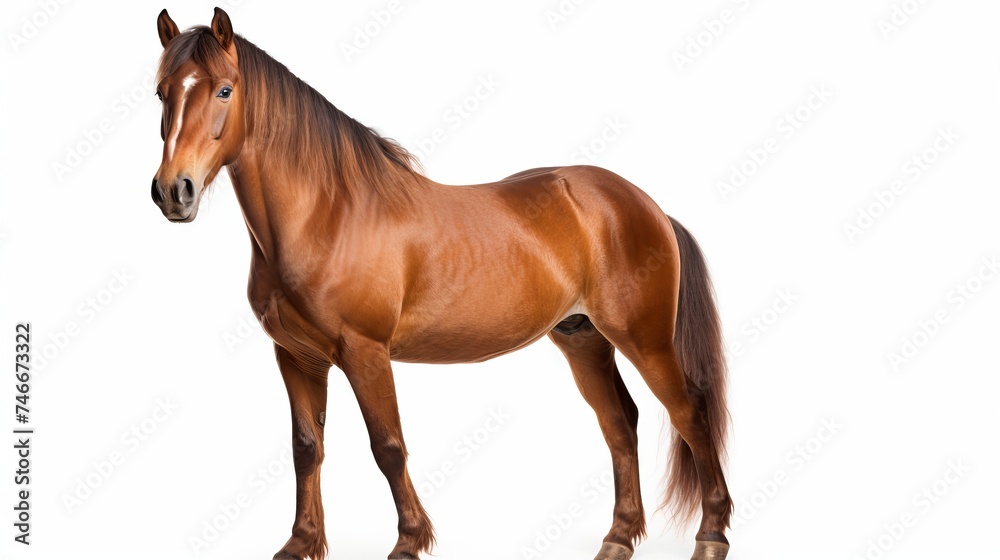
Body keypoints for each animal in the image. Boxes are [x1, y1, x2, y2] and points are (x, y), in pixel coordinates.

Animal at [150, 8, 733, 560]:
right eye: (161, 92)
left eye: (225, 89)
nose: (173, 191)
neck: (329, 213)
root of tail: (643, 204)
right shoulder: (297, 356)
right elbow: (306, 448)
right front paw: (300, 543)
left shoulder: (365, 352)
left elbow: (387, 446)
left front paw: (409, 540)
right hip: (583, 338)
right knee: (619, 423)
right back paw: (618, 537)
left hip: (644, 339)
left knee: (690, 414)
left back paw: (711, 533)